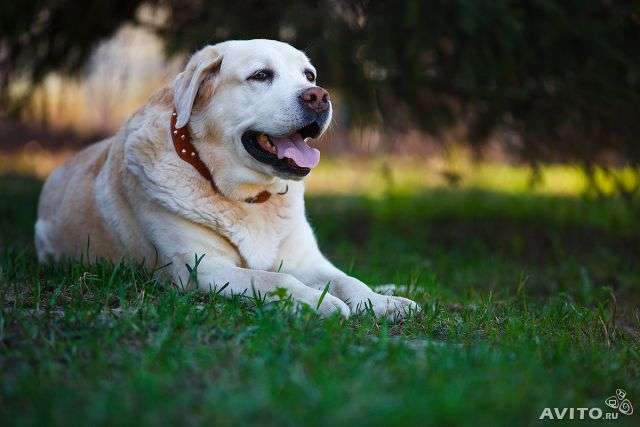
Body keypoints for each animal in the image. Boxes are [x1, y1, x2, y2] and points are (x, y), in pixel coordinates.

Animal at [37, 40, 422, 320]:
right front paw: (318, 302)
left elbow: (347, 279)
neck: (252, 198)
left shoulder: (307, 261)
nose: (318, 96)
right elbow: (273, 277)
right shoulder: (202, 268)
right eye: (261, 75)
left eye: (309, 75)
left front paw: (380, 302)